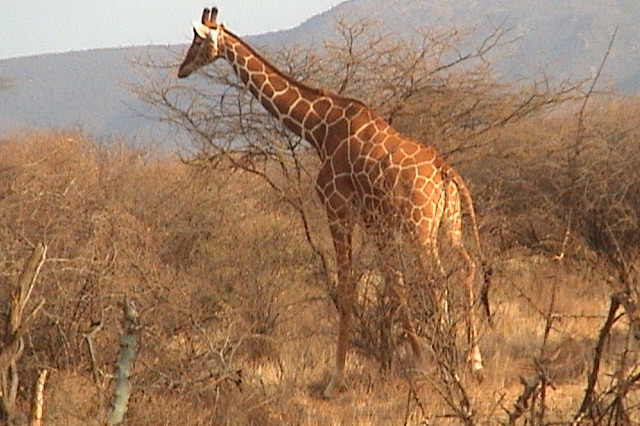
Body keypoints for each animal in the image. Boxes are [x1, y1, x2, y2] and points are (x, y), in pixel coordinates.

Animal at [178, 7, 488, 400]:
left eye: (196, 42)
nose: (181, 69)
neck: (318, 128)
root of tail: (446, 170)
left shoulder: (338, 207)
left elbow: (347, 285)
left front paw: (336, 379)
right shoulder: (374, 219)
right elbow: (394, 282)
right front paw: (421, 359)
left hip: (420, 227)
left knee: (436, 278)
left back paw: (451, 359)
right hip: (449, 222)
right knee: (464, 266)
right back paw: (473, 361)